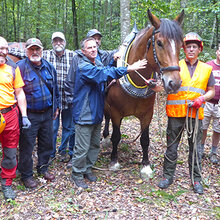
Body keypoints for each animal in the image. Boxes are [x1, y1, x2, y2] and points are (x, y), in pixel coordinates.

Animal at [103, 9, 184, 180]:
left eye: (181, 44)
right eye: (159, 43)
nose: (174, 83)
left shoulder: (147, 114)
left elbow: (145, 139)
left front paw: (145, 166)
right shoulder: (116, 112)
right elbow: (116, 136)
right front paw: (114, 160)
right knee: (106, 118)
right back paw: (105, 138)